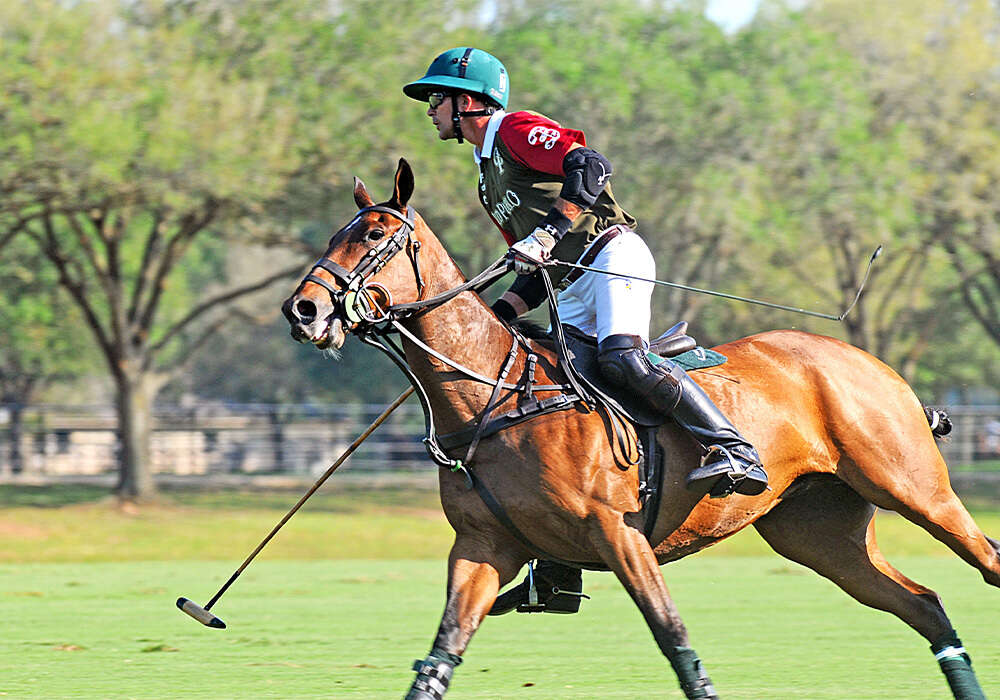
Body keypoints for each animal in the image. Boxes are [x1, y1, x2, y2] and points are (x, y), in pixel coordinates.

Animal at [284, 160, 1000, 700]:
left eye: (375, 235)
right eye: (337, 234)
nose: (303, 309)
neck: (495, 396)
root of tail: (878, 366)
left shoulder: (618, 533)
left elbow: (674, 638)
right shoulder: (483, 547)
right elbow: (441, 654)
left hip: (914, 487)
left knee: (984, 561)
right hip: (820, 535)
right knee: (925, 604)